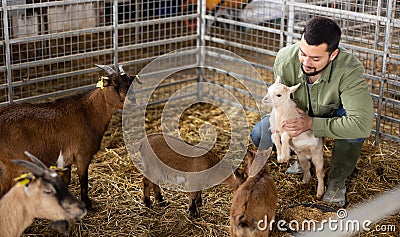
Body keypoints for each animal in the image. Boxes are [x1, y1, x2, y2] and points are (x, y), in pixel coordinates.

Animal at [0, 64, 141, 206]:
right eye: (114, 83)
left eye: (130, 82)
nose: (132, 100)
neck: (88, 113)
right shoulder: (82, 155)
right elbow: (83, 180)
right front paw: (87, 203)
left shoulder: (65, 160)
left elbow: (66, 181)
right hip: (14, 167)